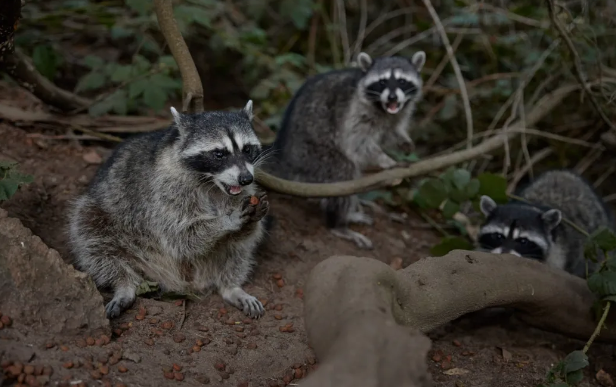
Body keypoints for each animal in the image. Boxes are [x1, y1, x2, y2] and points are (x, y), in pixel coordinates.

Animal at [67, 101, 270, 320]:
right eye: (219, 154)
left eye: (247, 149)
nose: (246, 178)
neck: (212, 183)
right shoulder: (164, 189)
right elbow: (181, 236)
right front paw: (227, 219)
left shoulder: (244, 192)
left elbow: (242, 236)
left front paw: (250, 222)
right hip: (106, 216)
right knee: (92, 235)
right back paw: (124, 284)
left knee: (239, 250)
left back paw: (230, 287)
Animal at [264, 51, 428, 250]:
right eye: (382, 82)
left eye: (402, 81)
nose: (392, 98)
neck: (383, 109)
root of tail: (285, 155)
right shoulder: (355, 112)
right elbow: (358, 143)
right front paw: (385, 159)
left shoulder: (397, 114)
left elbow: (391, 130)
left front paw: (403, 141)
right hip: (312, 153)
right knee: (343, 174)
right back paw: (339, 224)